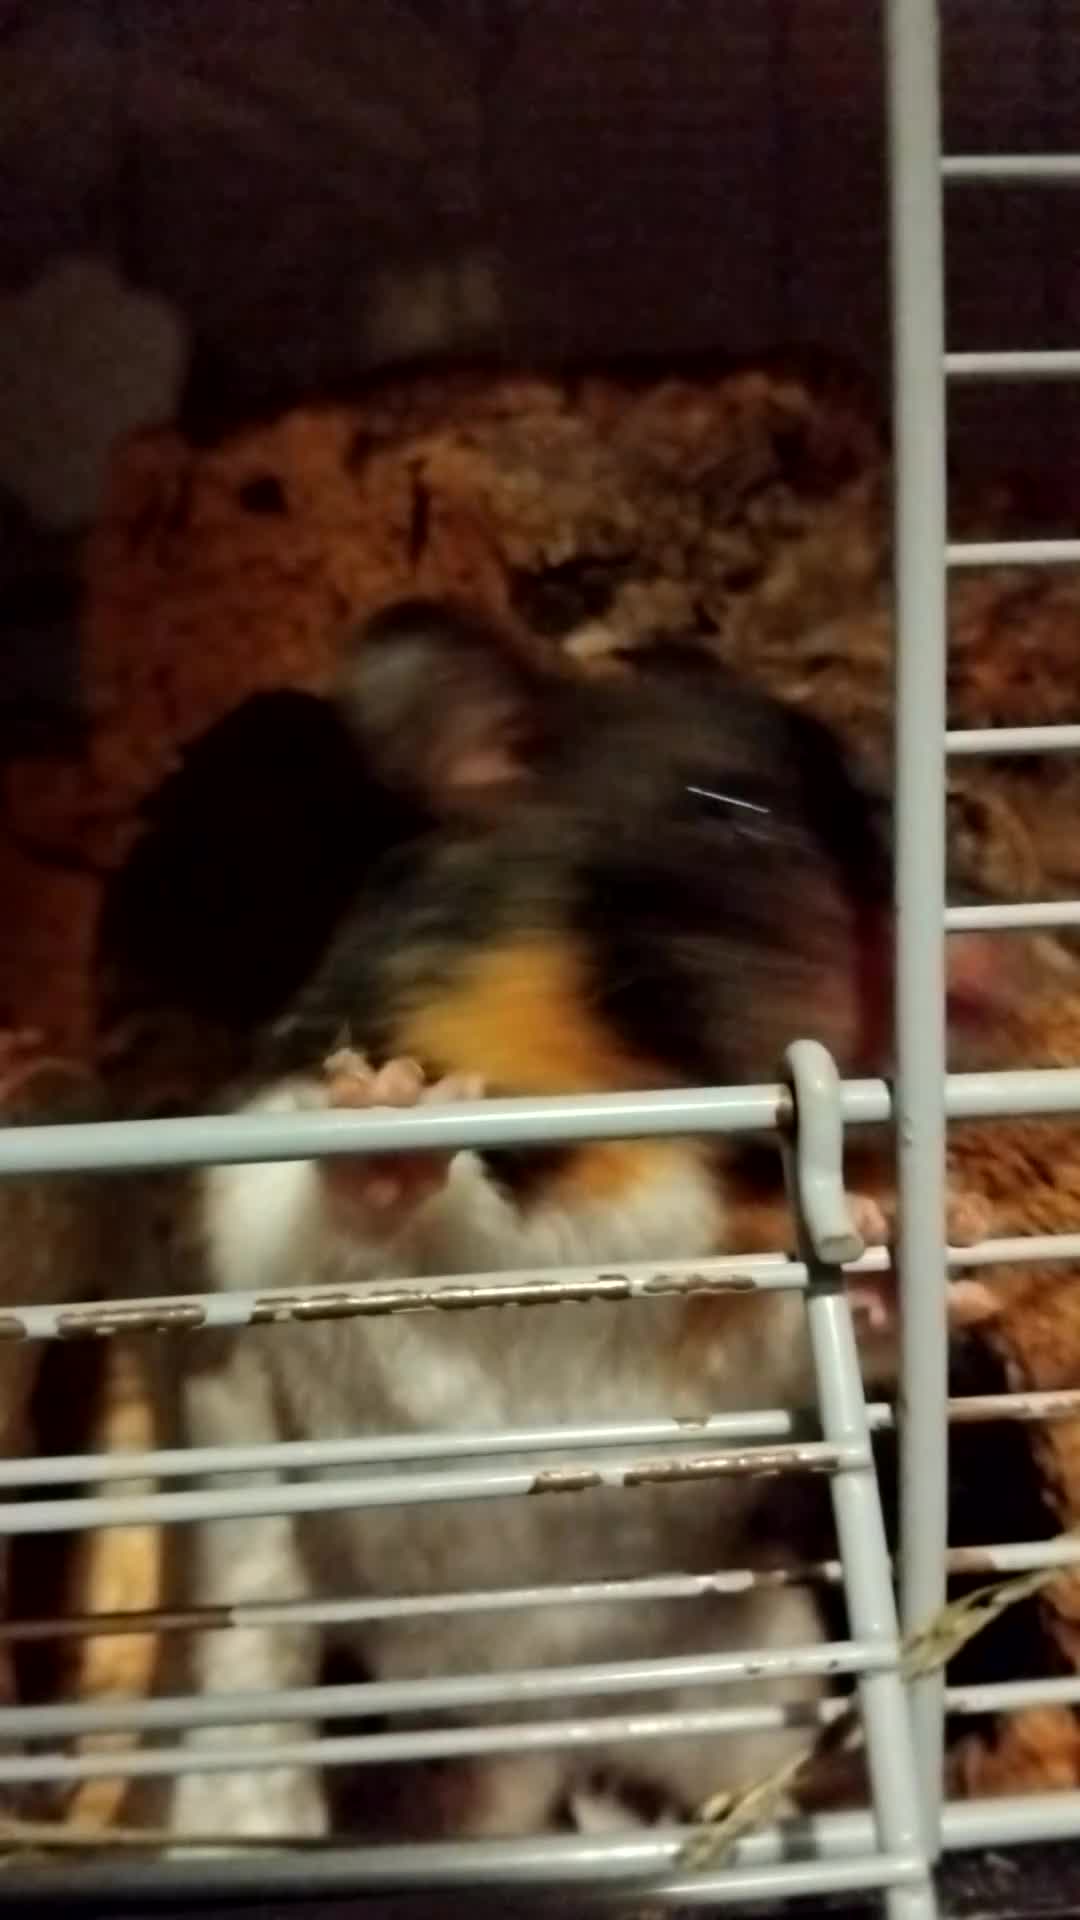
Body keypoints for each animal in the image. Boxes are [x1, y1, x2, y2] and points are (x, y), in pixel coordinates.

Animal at [148, 602, 999, 1842]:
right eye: (726, 808)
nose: (989, 974)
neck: (639, 1095)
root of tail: (542, 1730)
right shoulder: (291, 1205)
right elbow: (365, 1218)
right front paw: (394, 1115)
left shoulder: (721, 1315)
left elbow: (781, 1321)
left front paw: (934, 1243)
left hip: (758, 1669)